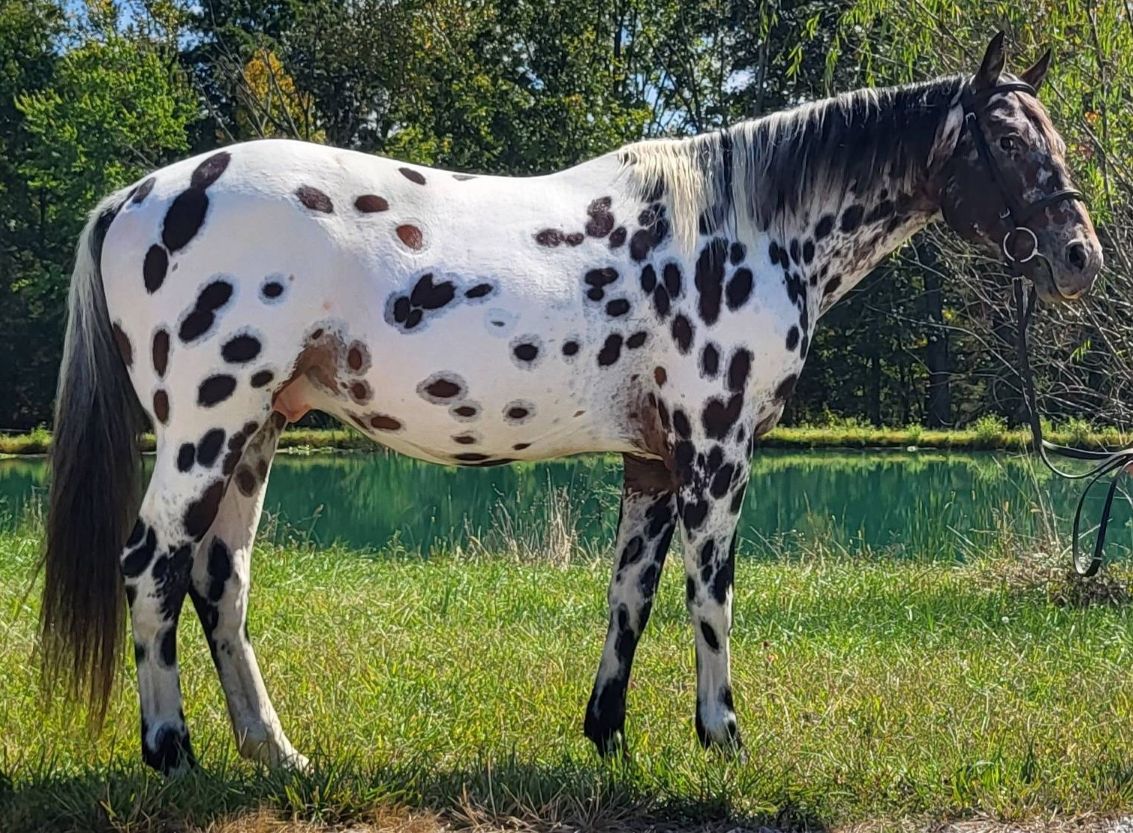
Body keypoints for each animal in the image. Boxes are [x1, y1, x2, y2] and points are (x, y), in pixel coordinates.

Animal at [39, 33, 1101, 773]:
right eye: (1007, 138)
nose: (1078, 257)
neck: (744, 226)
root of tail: (137, 196)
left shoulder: (654, 459)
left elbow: (630, 593)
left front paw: (609, 734)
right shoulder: (715, 450)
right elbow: (709, 592)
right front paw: (724, 738)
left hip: (256, 434)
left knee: (219, 581)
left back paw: (276, 752)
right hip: (206, 427)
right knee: (149, 567)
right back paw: (172, 752)